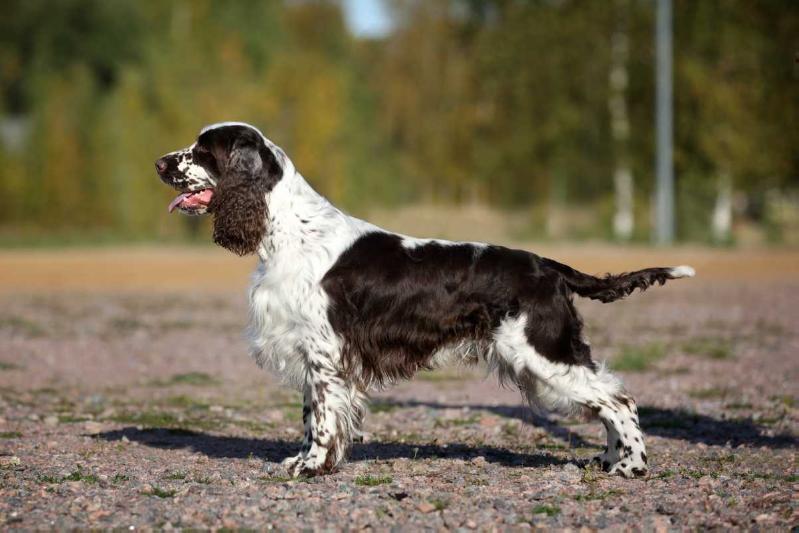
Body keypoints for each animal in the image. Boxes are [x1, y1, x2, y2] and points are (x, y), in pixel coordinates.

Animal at [155, 121, 692, 478]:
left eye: (202, 150)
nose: (159, 162)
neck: (290, 230)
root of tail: (549, 267)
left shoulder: (325, 354)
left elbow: (323, 418)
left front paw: (312, 467)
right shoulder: (312, 352)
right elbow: (311, 417)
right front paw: (306, 459)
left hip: (542, 352)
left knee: (620, 399)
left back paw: (632, 466)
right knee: (607, 400)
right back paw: (609, 460)